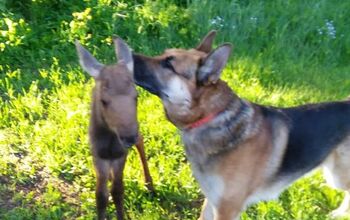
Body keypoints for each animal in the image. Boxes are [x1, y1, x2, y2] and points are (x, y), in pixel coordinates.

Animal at [76, 38, 154, 219]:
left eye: (136, 96)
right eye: (104, 101)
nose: (128, 137)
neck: (111, 143)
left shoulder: (120, 154)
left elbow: (118, 191)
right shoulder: (98, 155)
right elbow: (101, 195)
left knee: (141, 140)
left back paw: (149, 184)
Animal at [131, 31, 350, 220]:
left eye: (168, 64)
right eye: (163, 54)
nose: (128, 52)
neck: (213, 116)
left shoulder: (227, 208)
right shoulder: (212, 200)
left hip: (337, 176)